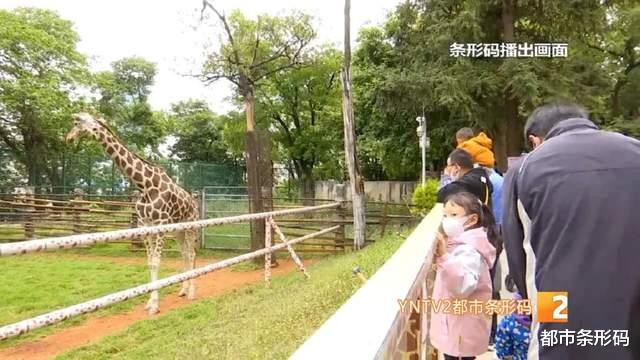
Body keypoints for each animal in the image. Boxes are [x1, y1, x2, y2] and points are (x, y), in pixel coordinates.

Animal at [66, 112, 199, 316]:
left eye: (76, 123)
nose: (68, 138)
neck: (144, 185)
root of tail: (194, 202)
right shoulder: (145, 225)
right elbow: (150, 262)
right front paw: (150, 303)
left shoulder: (160, 224)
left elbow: (156, 262)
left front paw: (155, 305)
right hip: (178, 230)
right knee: (184, 254)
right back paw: (183, 290)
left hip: (190, 226)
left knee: (191, 254)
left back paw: (191, 292)